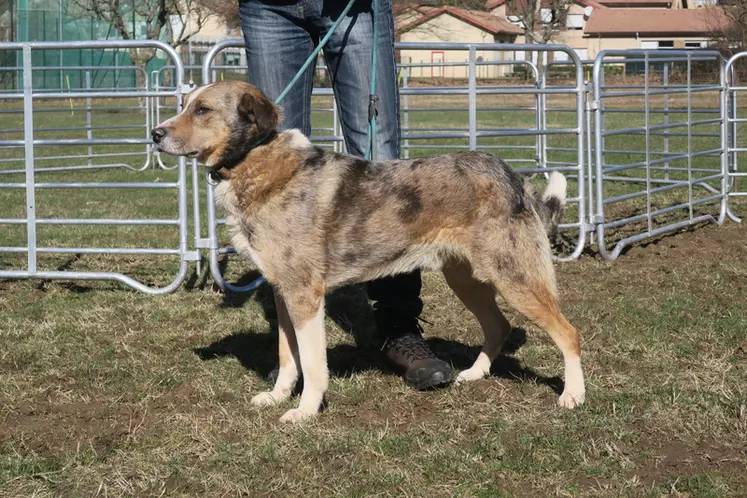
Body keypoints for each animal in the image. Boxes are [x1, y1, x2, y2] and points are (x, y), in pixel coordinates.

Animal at [150, 80, 584, 422]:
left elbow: (313, 364)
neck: (255, 162)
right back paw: (474, 375)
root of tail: (511, 174)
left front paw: (305, 412)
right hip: (467, 280)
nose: (155, 134)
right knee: (498, 327)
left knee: (568, 333)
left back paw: (573, 395)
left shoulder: (306, 296)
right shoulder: (284, 292)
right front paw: (276, 397)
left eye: (202, 110)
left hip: (513, 278)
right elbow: (288, 357)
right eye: (185, 104)